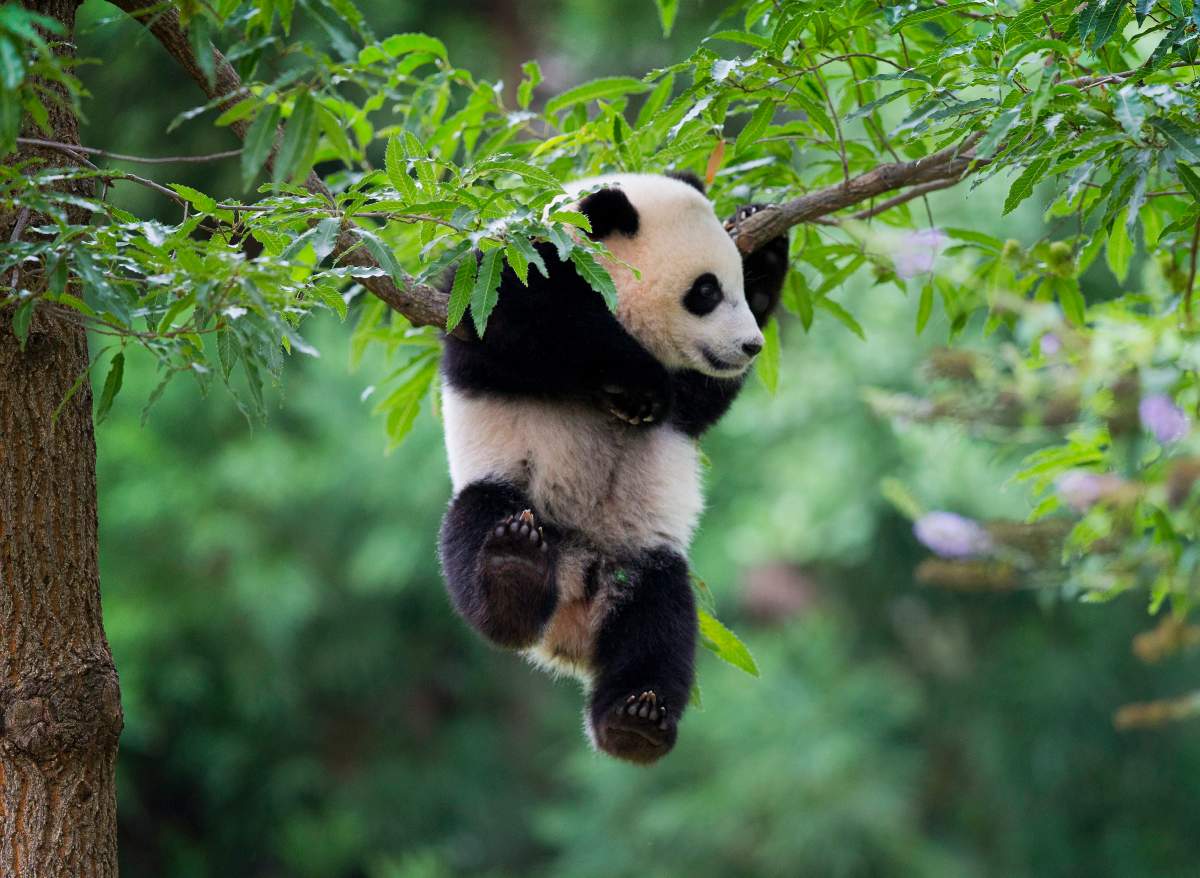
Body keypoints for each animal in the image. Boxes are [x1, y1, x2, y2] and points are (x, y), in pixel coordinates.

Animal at [438, 171, 788, 764]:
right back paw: (512, 573)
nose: (750, 346)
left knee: (660, 626)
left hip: (640, 560)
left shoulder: (693, 396)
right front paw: (640, 384)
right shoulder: (506, 266)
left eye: (738, 286)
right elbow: (521, 318)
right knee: (475, 526)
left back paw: (636, 721)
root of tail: (567, 621)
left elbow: (699, 401)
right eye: (705, 292)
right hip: (504, 490)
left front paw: (762, 235)